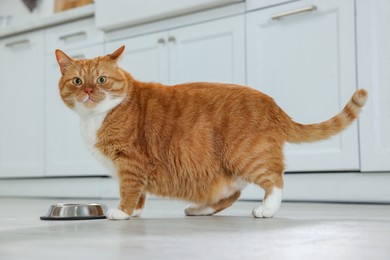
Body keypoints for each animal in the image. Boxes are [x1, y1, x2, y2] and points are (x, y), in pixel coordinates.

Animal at [54, 45, 368, 219]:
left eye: (102, 80)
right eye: (78, 81)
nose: (89, 91)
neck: (97, 117)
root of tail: (271, 103)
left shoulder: (131, 164)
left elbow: (129, 190)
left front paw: (122, 212)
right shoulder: (133, 169)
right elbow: (139, 193)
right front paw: (137, 212)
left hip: (247, 155)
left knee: (275, 180)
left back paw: (266, 209)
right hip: (226, 167)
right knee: (231, 193)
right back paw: (199, 209)